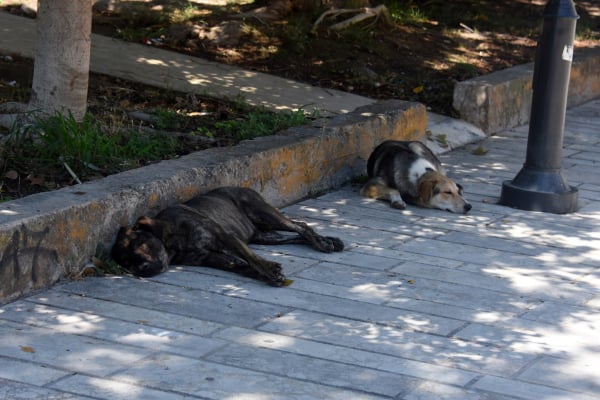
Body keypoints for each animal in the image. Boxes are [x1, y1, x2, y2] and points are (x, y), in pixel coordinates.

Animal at [112, 187, 344, 284]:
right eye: (125, 263)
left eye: (138, 244)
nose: (140, 270)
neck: (172, 241)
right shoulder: (213, 258)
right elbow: (242, 265)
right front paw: (266, 276)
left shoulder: (226, 237)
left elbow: (253, 259)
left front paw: (270, 269)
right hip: (264, 236)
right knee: (295, 234)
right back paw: (330, 240)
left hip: (263, 213)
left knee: (301, 226)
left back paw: (322, 242)